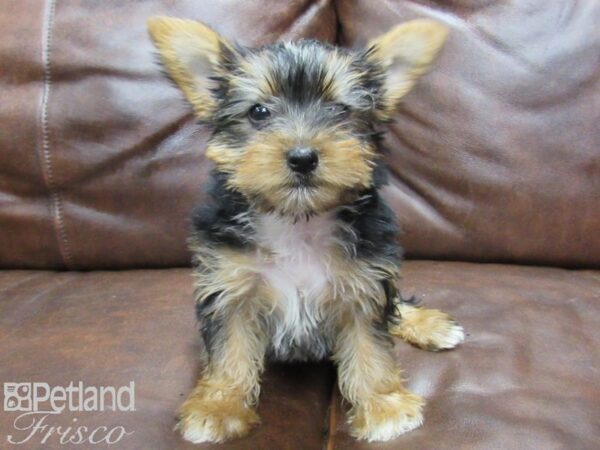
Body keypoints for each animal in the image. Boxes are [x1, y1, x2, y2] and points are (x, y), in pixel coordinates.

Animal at [146, 16, 464, 442]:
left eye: (339, 110)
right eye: (259, 112)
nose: (302, 157)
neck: (297, 219)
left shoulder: (363, 282)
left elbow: (371, 348)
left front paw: (383, 406)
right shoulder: (229, 285)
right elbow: (229, 352)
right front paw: (219, 406)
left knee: (395, 305)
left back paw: (430, 325)